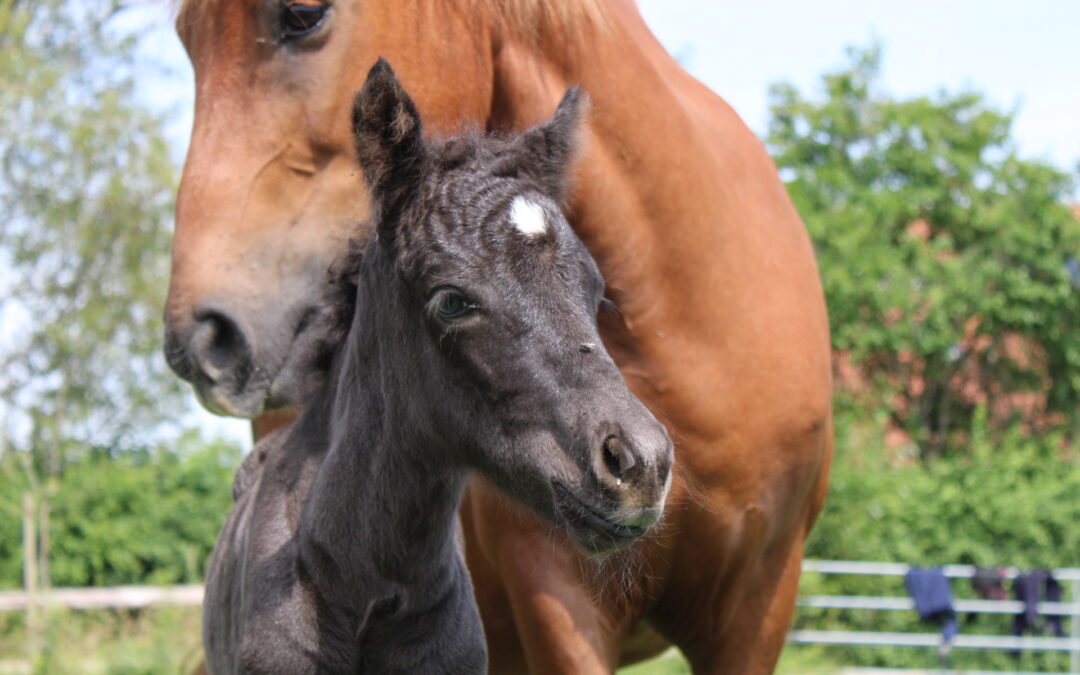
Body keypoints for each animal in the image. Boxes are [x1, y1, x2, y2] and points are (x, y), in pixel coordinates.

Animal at [162, 2, 833, 669]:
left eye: (598, 293)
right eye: (451, 300)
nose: (642, 464)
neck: (370, 588)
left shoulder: (760, 601)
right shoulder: (553, 592)